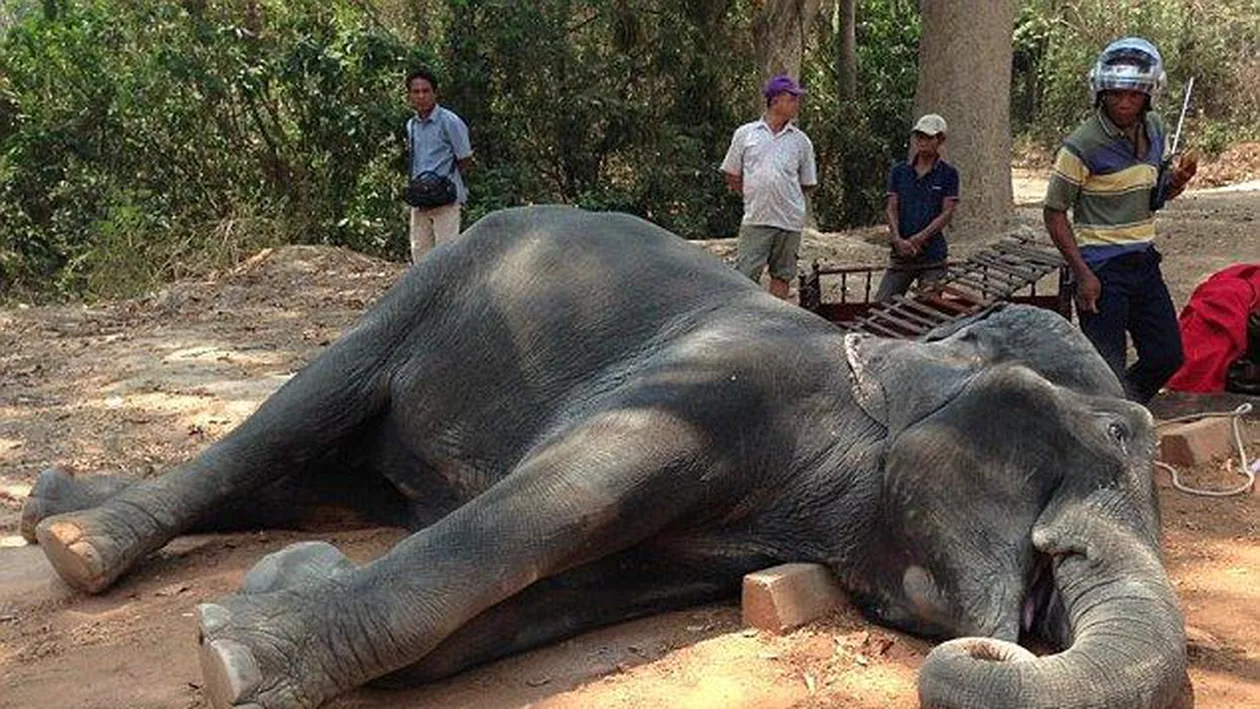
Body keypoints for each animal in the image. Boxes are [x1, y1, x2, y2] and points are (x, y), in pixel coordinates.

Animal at [23, 206, 1191, 709]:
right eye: (1105, 437)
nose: (1006, 641)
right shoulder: (710, 387)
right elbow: (553, 502)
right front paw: (231, 659)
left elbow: (532, 604)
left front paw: (284, 584)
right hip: (433, 280)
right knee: (295, 416)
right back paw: (77, 541)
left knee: (318, 474)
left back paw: (59, 505)